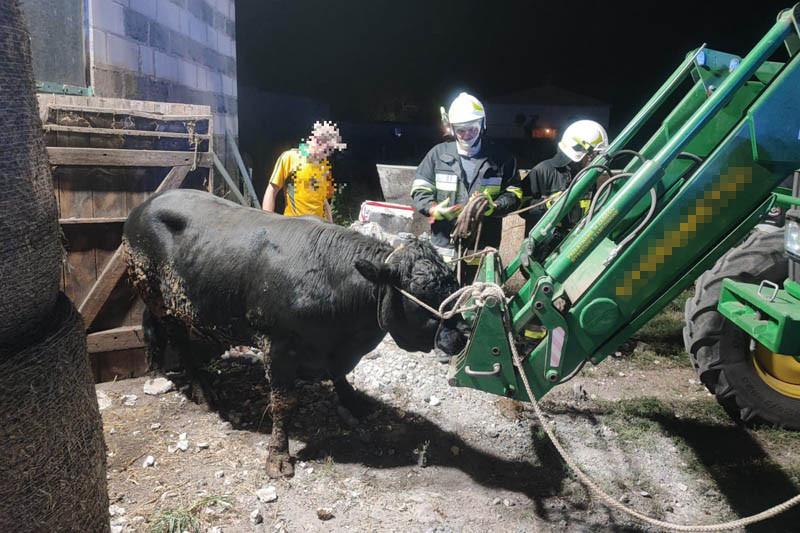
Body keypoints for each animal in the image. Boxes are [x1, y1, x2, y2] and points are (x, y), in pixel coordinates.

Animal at [122, 189, 466, 476]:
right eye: (421, 291)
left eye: (453, 282)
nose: (460, 335)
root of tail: (144, 205)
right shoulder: (278, 345)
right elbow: (282, 403)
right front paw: (278, 455)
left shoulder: (335, 348)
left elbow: (340, 374)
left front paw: (353, 401)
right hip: (159, 295)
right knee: (178, 340)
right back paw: (203, 390)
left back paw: (157, 369)